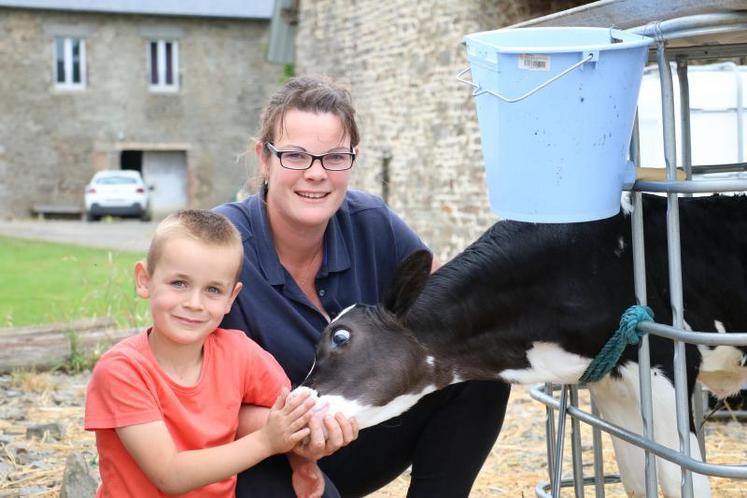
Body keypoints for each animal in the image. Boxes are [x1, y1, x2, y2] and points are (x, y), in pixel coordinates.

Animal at [300, 194, 747, 498]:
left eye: (340, 338)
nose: (296, 405)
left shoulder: (665, 365)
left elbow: (682, 478)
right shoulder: (614, 380)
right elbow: (639, 479)